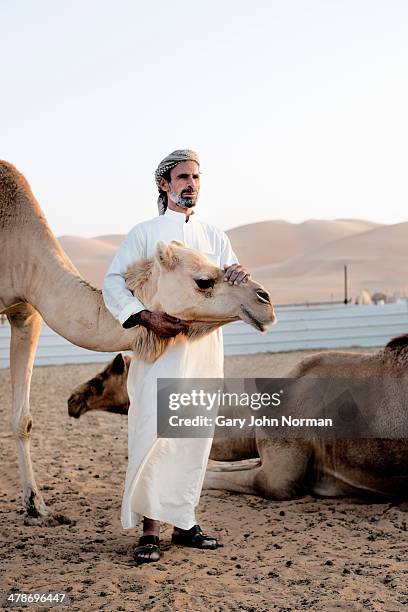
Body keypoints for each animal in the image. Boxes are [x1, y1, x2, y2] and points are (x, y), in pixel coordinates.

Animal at [0, 160, 274, 524]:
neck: (19, 250)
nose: (265, 301)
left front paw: (37, 507)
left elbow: (23, 419)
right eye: (204, 281)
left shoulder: (26, 312)